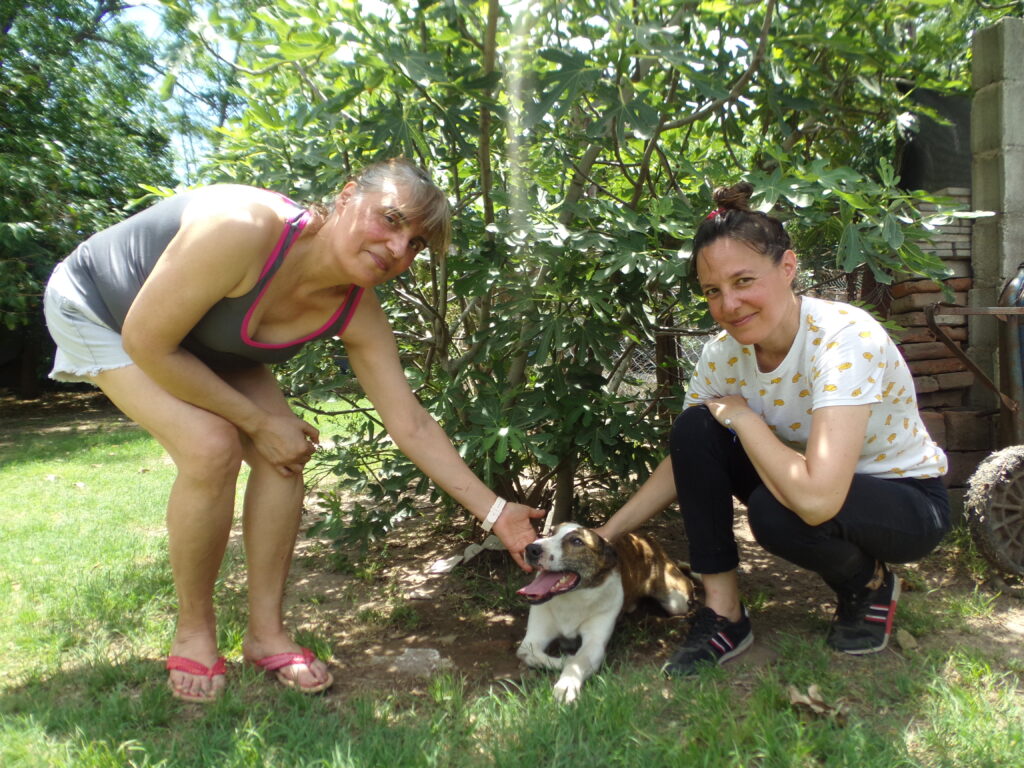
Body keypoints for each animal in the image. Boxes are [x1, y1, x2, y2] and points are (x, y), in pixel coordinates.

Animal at [516, 522, 695, 702]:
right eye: (550, 532)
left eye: (577, 541)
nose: (531, 548)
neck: (572, 599)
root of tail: (646, 537)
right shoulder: (531, 641)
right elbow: (529, 655)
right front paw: (564, 660)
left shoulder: (594, 644)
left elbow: (577, 662)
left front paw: (566, 684)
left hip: (676, 601)